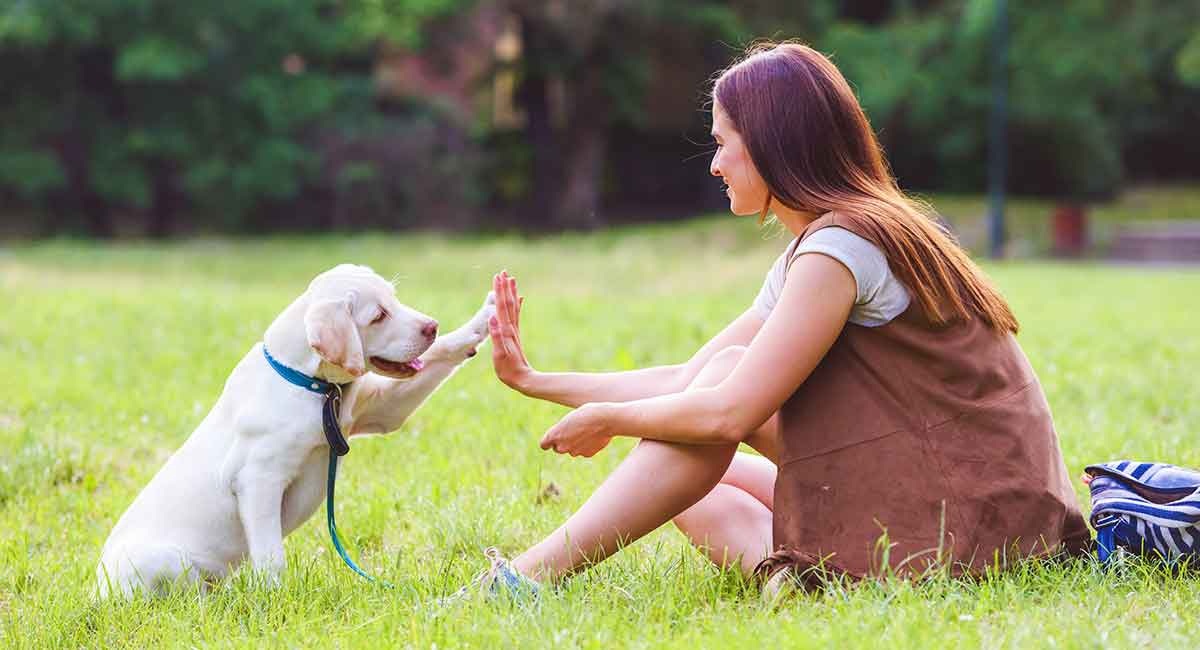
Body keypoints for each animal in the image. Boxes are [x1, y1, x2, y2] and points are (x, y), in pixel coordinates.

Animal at [96, 262, 492, 599]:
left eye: (394, 299)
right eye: (378, 316)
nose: (431, 325)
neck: (309, 384)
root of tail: (98, 595)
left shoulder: (383, 409)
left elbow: (443, 353)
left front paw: (486, 317)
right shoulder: (258, 481)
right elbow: (272, 555)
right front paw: (275, 599)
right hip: (163, 560)